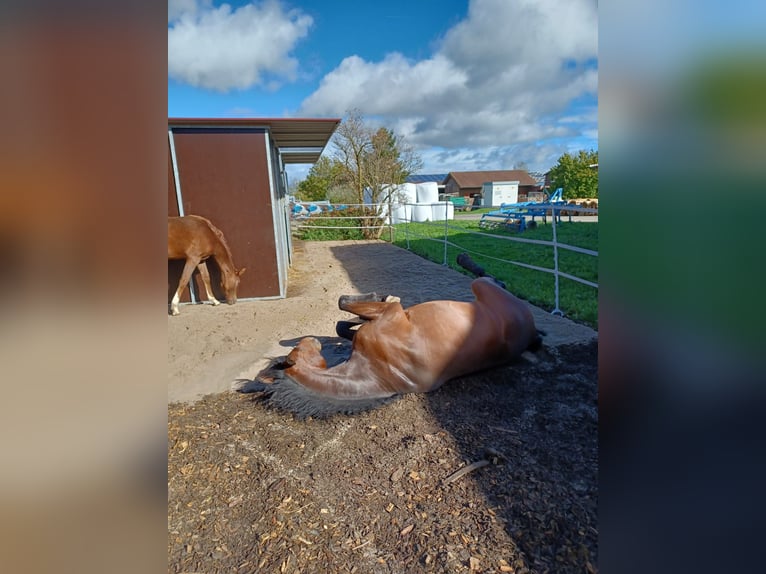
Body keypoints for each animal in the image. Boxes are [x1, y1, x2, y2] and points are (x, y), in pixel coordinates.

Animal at [249, 276, 544, 420]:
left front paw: (375, 300)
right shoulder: (389, 315)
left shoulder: (390, 313)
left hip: (481, 288)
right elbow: (343, 313)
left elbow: (343, 310)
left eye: (294, 352)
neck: (377, 371)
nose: (311, 341)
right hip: (482, 288)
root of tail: (530, 332)